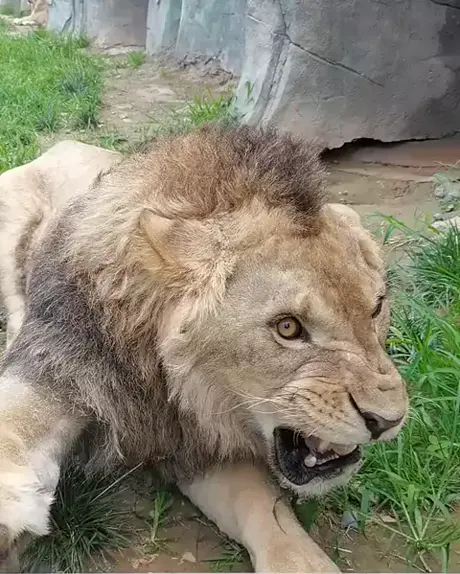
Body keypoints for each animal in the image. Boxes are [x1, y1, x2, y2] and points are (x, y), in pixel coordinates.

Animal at [0, 125, 408, 573]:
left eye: (376, 307)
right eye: (287, 327)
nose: (387, 421)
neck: (168, 384)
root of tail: (66, 143)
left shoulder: (199, 448)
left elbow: (264, 511)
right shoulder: (58, 372)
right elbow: (17, 421)